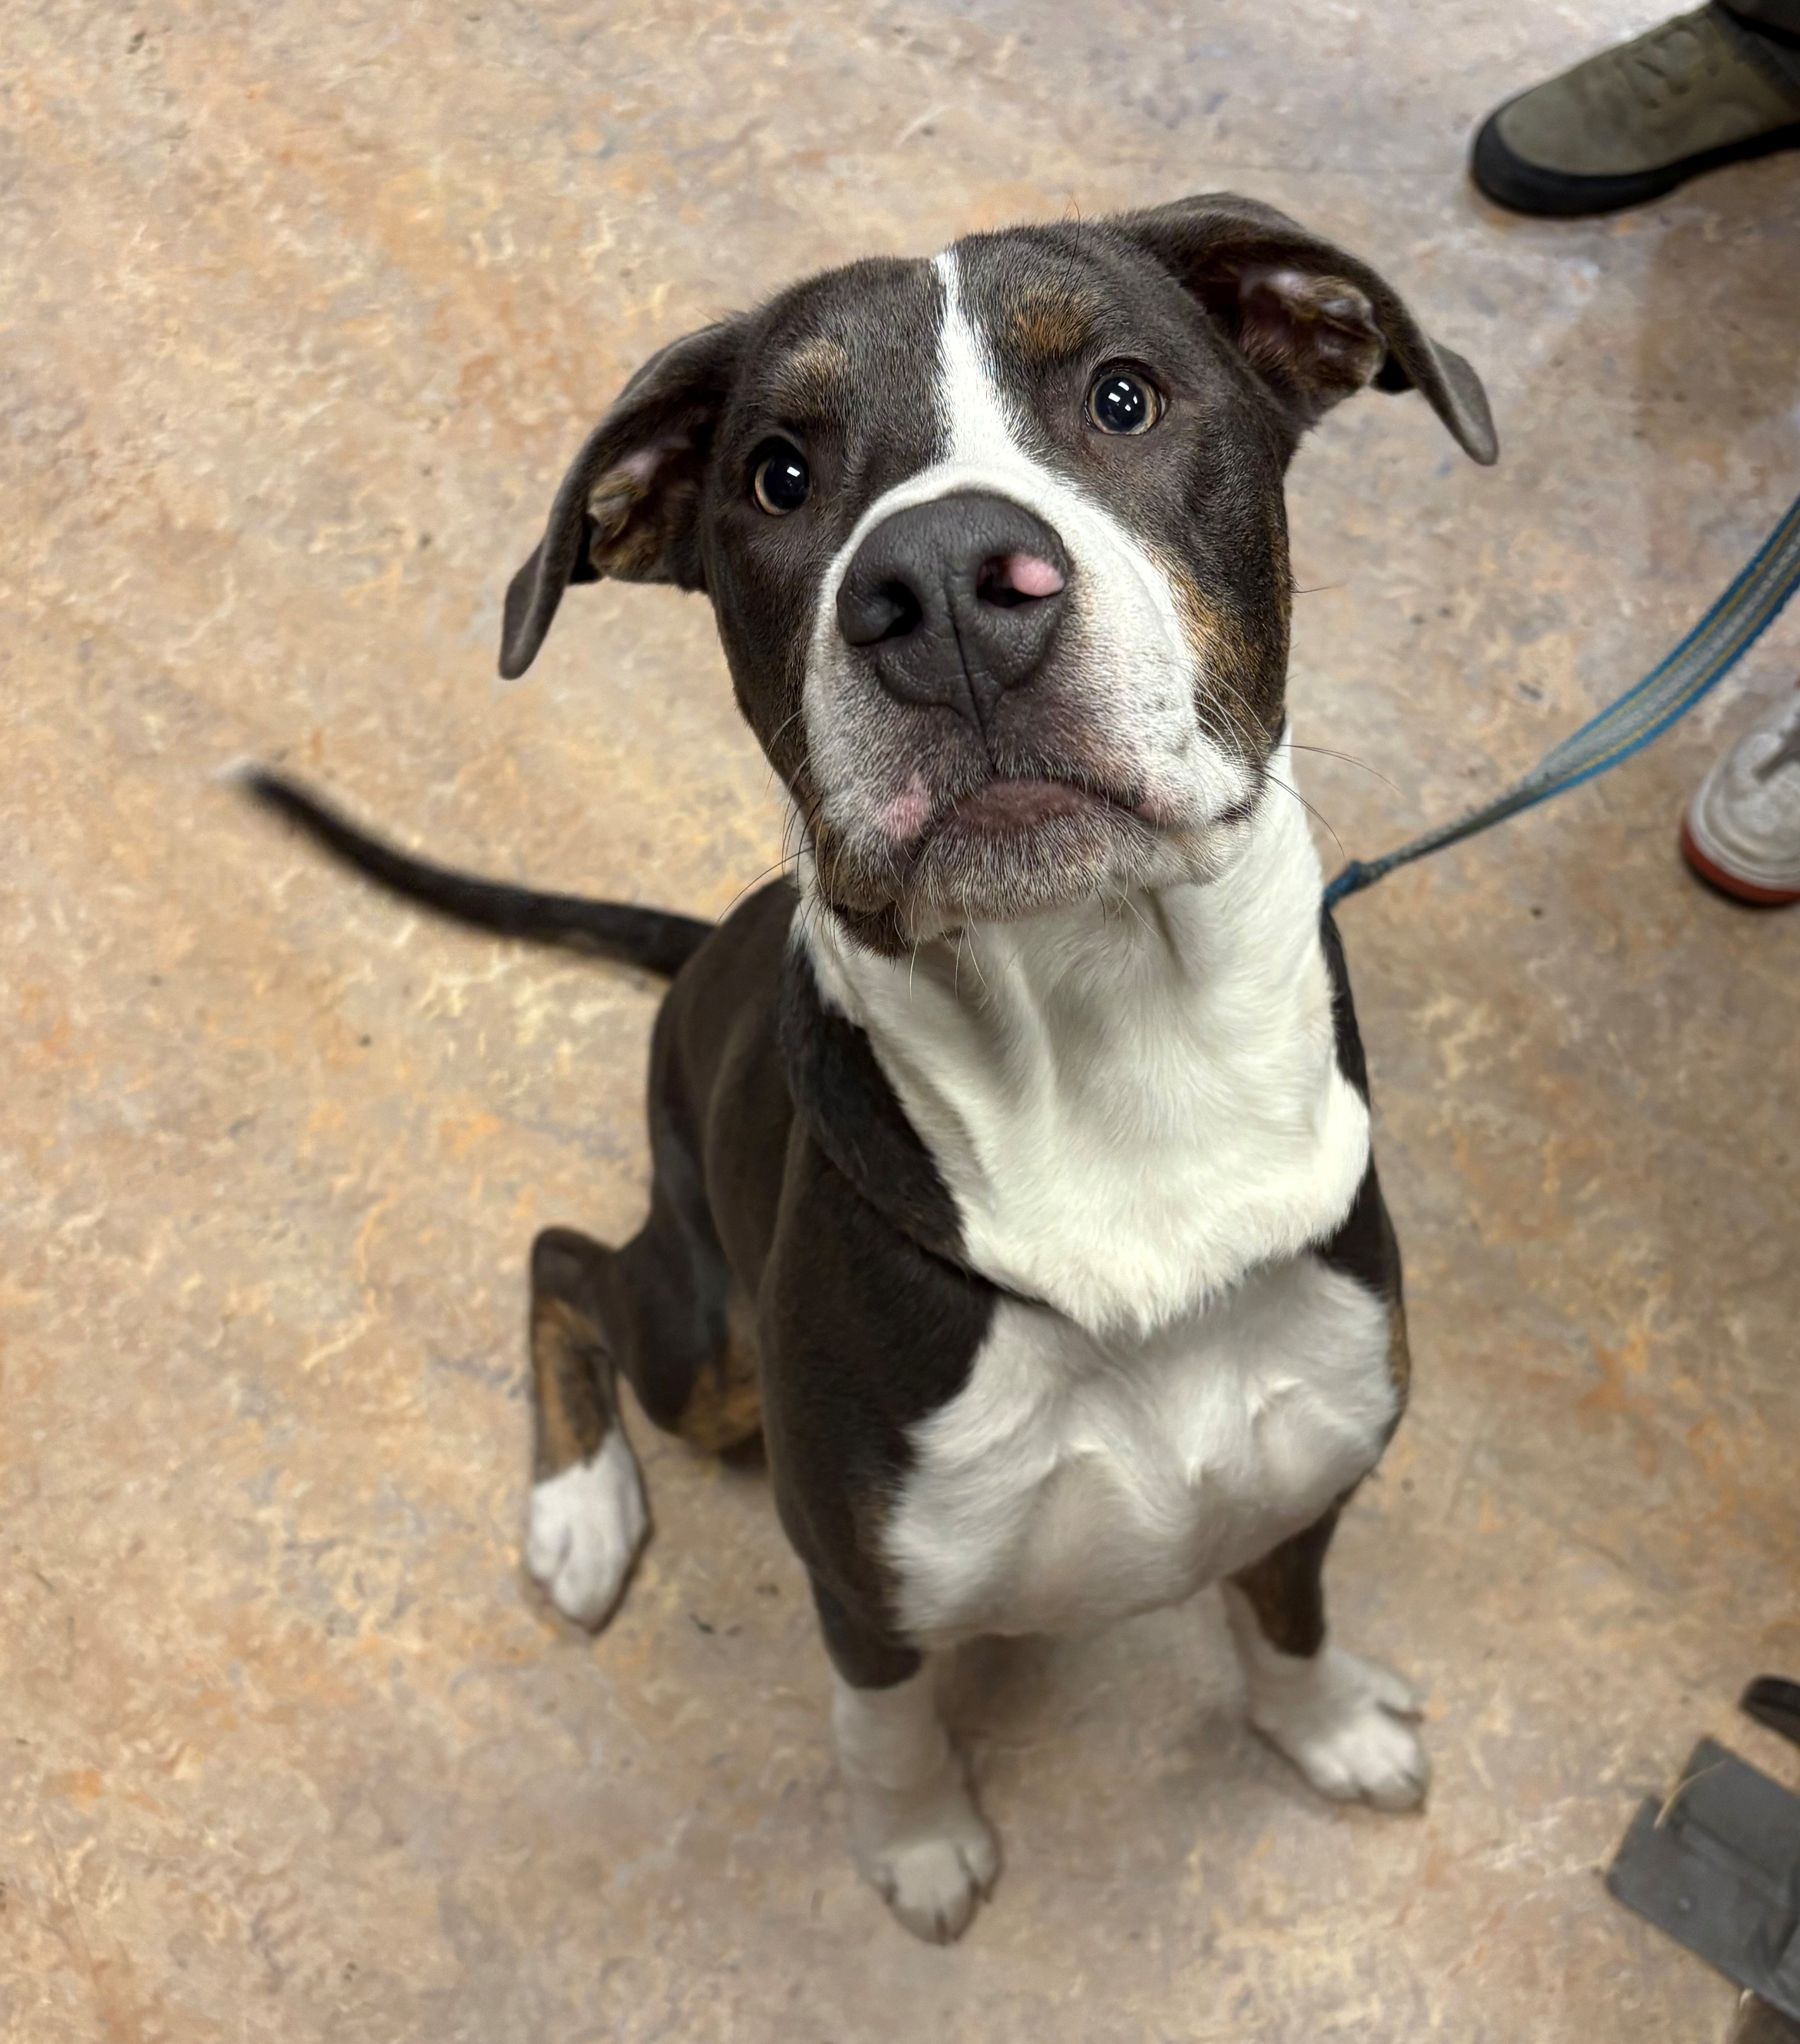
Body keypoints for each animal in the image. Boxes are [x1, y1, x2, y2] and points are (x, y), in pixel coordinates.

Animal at [251, 191, 1495, 1944]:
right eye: (779, 473)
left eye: (1121, 395)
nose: (945, 583)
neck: (1118, 1080)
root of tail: (701, 949)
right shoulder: (858, 1570)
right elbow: (883, 1719)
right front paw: (917, 1846)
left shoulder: (1314, 1468)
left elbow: (1284, 1608)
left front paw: (1321, 1726)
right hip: (705, 1343)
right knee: (564, 1258)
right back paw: (579, 1509)